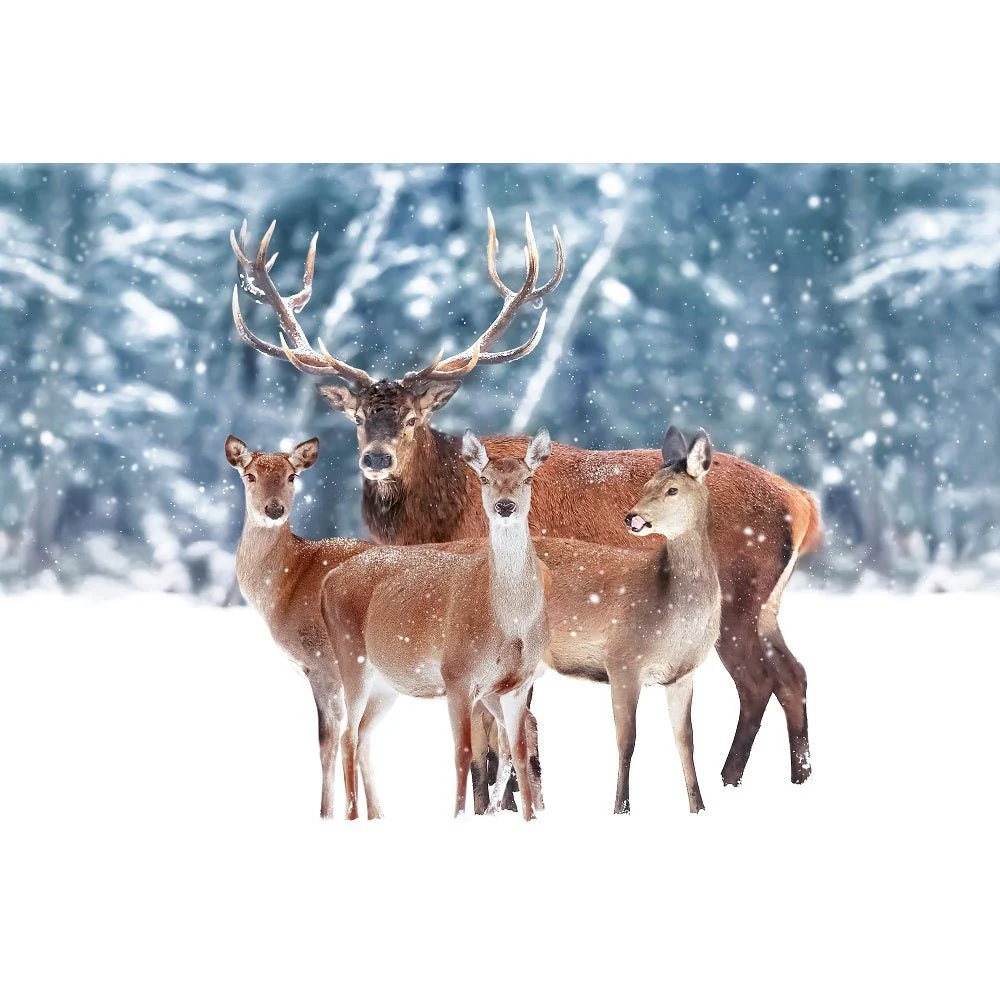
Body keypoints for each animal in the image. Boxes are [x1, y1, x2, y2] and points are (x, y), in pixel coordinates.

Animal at [320, 429, 553, 822]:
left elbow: (519, 750)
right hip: (352, 659)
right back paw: (351, 817)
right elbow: (462, 752)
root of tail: (328, 581)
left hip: (386, 683)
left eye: (527, 479)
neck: (509, 623)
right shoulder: (456, 674)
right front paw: (458, 817)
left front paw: (531, 818)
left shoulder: (515, 684)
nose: (505, 506)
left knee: (363, 733)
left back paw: (376, 815)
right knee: (347, 735)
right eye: (484, 478)